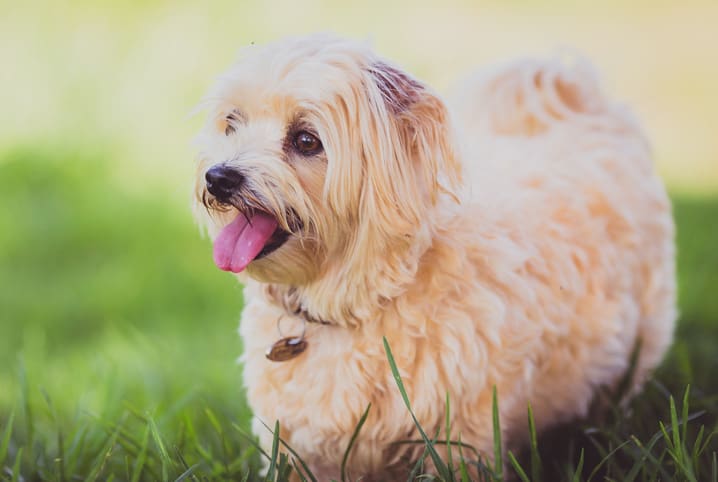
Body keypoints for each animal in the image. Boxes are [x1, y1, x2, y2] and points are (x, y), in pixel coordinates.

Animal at [193, 33, 676, 478]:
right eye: (232, 123)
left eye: (307, 140)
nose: (219, 177)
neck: (357, 301)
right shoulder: (299, 448)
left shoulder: (458, 440)